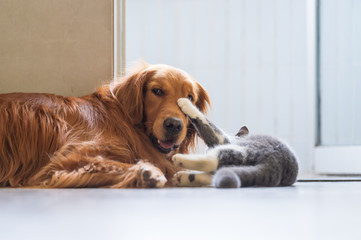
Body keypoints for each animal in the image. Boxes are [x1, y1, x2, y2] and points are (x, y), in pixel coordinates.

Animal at [0, 62, 210, 189]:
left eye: (190, 98)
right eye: (157, 91)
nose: (174, 125)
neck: (124, 123)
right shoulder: (67, 159)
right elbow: (111, 163)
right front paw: (147, 172)